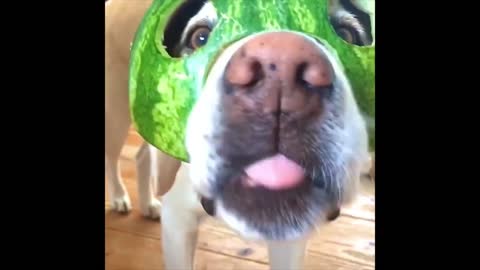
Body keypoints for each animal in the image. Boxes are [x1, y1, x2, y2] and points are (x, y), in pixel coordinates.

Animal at [106, 0, 376, 268]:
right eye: (199, 37)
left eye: (347, 34)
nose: (279, 66)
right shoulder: (177, 222)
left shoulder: (291, 242)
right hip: (117, 116)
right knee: (112, 158)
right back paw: (119, 197)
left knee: (142, 156)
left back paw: (147, 203)